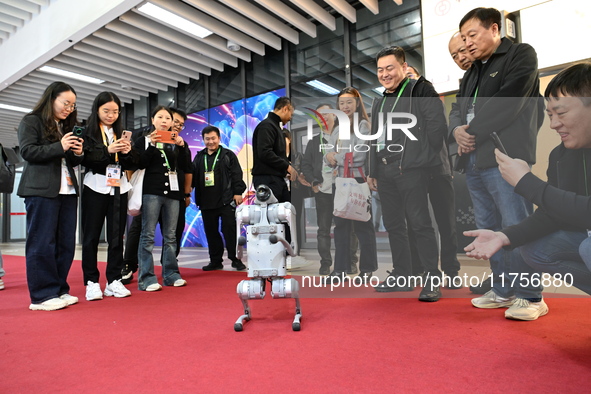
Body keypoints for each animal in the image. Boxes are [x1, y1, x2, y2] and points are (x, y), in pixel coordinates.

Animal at [234, 186, 302, 330]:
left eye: (263, 190)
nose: (261, 190)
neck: (264, 209)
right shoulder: (242, 213)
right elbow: (238, 252)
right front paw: (240, 242)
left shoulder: (287, 208)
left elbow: (293, 248)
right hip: (253, 282)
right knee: (243, 289)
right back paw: (245, 316)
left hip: (283, 286)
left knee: (291, 287)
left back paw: (297, 316)